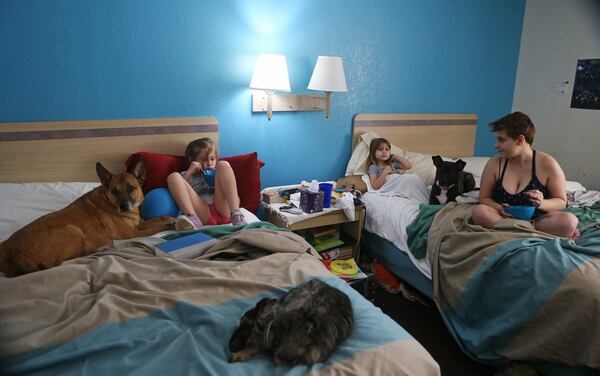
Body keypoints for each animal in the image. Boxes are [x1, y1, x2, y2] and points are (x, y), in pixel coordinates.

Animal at [1, 159, 176, 276]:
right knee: (55, 264)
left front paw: (173, 218)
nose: (124, 206)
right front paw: (172, 225)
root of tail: (6, 250)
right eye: (114, 191)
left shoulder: (137, 225)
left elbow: (160, 218)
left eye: (131, 188)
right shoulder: (133, 233)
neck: (108, 200)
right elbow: (157, 227)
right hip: (73, 230)